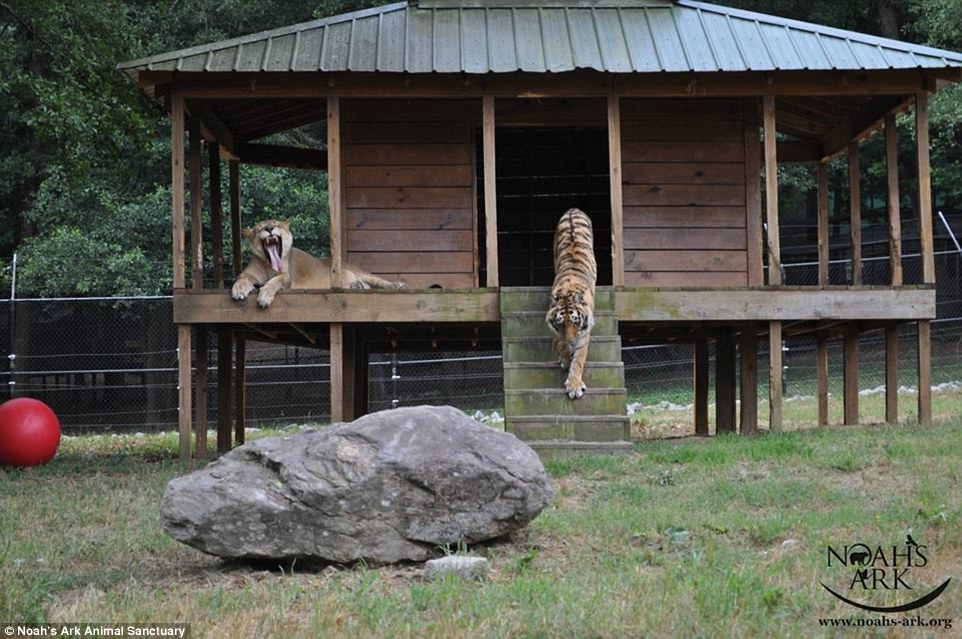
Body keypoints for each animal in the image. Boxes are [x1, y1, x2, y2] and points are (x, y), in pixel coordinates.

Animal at [229, 221, 402, 308]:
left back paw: (396, 285)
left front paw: (264, 296)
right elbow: (241, 279)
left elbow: (275, 281)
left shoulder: (287, 277)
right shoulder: (247, 273)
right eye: (258, 229)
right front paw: (239, 290)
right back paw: (357, 286)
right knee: (365, 286)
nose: (269, 228)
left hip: (362, 273)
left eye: (276, 224)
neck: (267, 263)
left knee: (379, 281)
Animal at [544, 209, 596, 400]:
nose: (571, 341)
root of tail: (573, 210)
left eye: (576, 321)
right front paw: (565, 359)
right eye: (561, 322)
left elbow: (579, 359)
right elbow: (560, 343)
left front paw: (574, 386)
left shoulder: (584, 332)